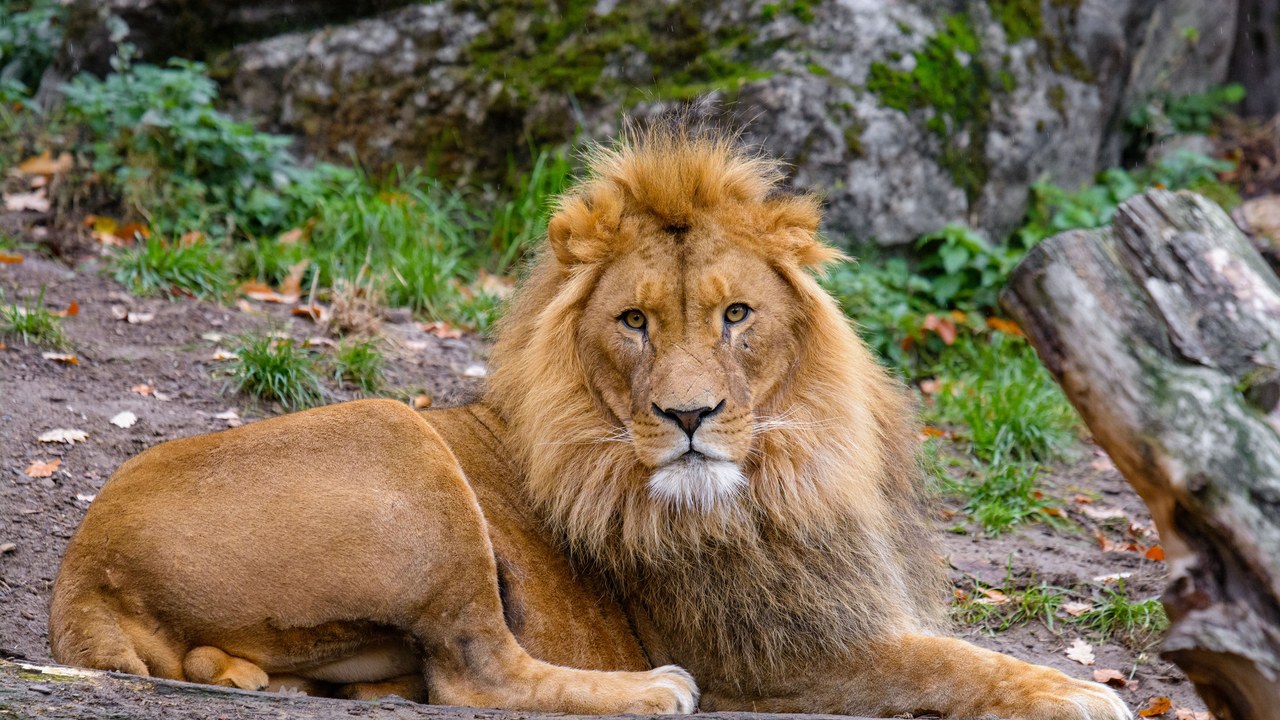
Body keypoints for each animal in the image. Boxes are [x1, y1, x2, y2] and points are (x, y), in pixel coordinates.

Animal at [49, 128, 1130, 719]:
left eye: (736, 315)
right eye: (634, 321)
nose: (689, 415)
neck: (789, 468)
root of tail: (82, 569)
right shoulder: (774, 654)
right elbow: (953, 662)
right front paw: (1080, 691)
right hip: (400, 441)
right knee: (477, 676)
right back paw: (653, 690)